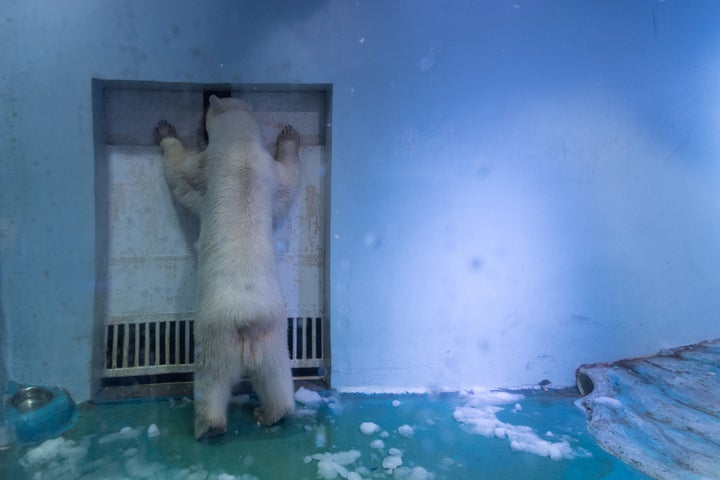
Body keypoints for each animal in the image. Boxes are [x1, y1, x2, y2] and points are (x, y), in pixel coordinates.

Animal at [155, 95, 300, 440]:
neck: (241, 148)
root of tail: (247, 320)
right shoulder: (266, 169)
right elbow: (288, 180)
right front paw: (289, 135)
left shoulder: (206, 165)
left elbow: (179, 174)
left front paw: (165, 130)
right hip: (274, 335)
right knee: (277, 377)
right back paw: (271, 413)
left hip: (215, 335)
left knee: (211, 380)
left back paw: (207, 426)